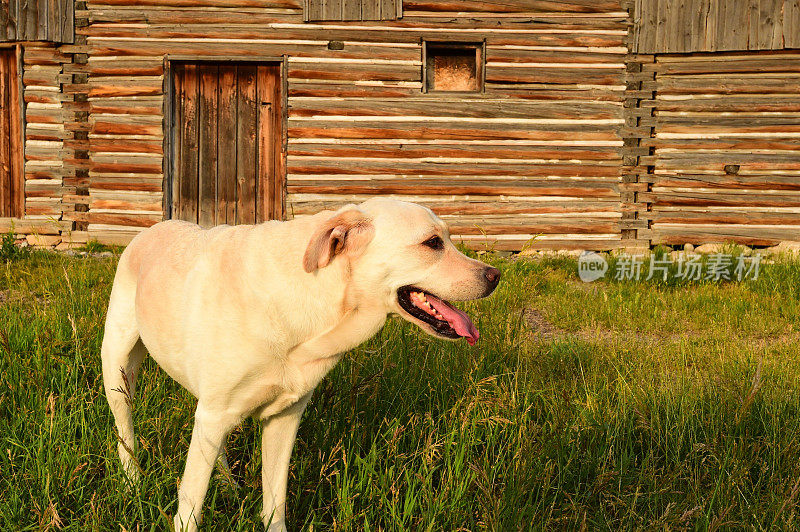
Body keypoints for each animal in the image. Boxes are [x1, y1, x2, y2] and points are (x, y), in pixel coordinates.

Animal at [100, 198, 500, 532]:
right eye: (432, 243)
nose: (495, 275)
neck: (316, 297)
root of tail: (153, 227)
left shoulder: (284, 416)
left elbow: (275, 501)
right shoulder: (214, 413)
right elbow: (191, 505)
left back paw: (227, 483)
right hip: (119, 370)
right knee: (125, 430)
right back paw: (132, 481)